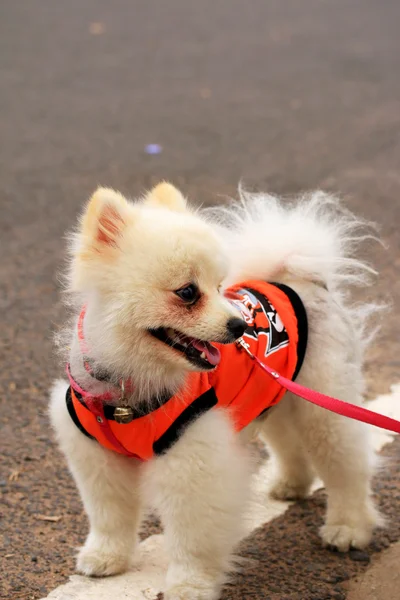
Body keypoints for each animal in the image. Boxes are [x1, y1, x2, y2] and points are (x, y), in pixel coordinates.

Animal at [49, 183, 382, 600]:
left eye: (221, 288)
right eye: (188, 292)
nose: (240, 325)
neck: (130, 385)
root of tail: (296, 279)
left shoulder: (192, 459)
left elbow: (191, 536)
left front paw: (189, 584)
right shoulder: (97, 457)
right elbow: (109, 515)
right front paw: (106, 557)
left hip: (324, 403)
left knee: (348, 465)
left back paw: (348, 528)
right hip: (272, 394)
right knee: (289, 441)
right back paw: (292, 485)